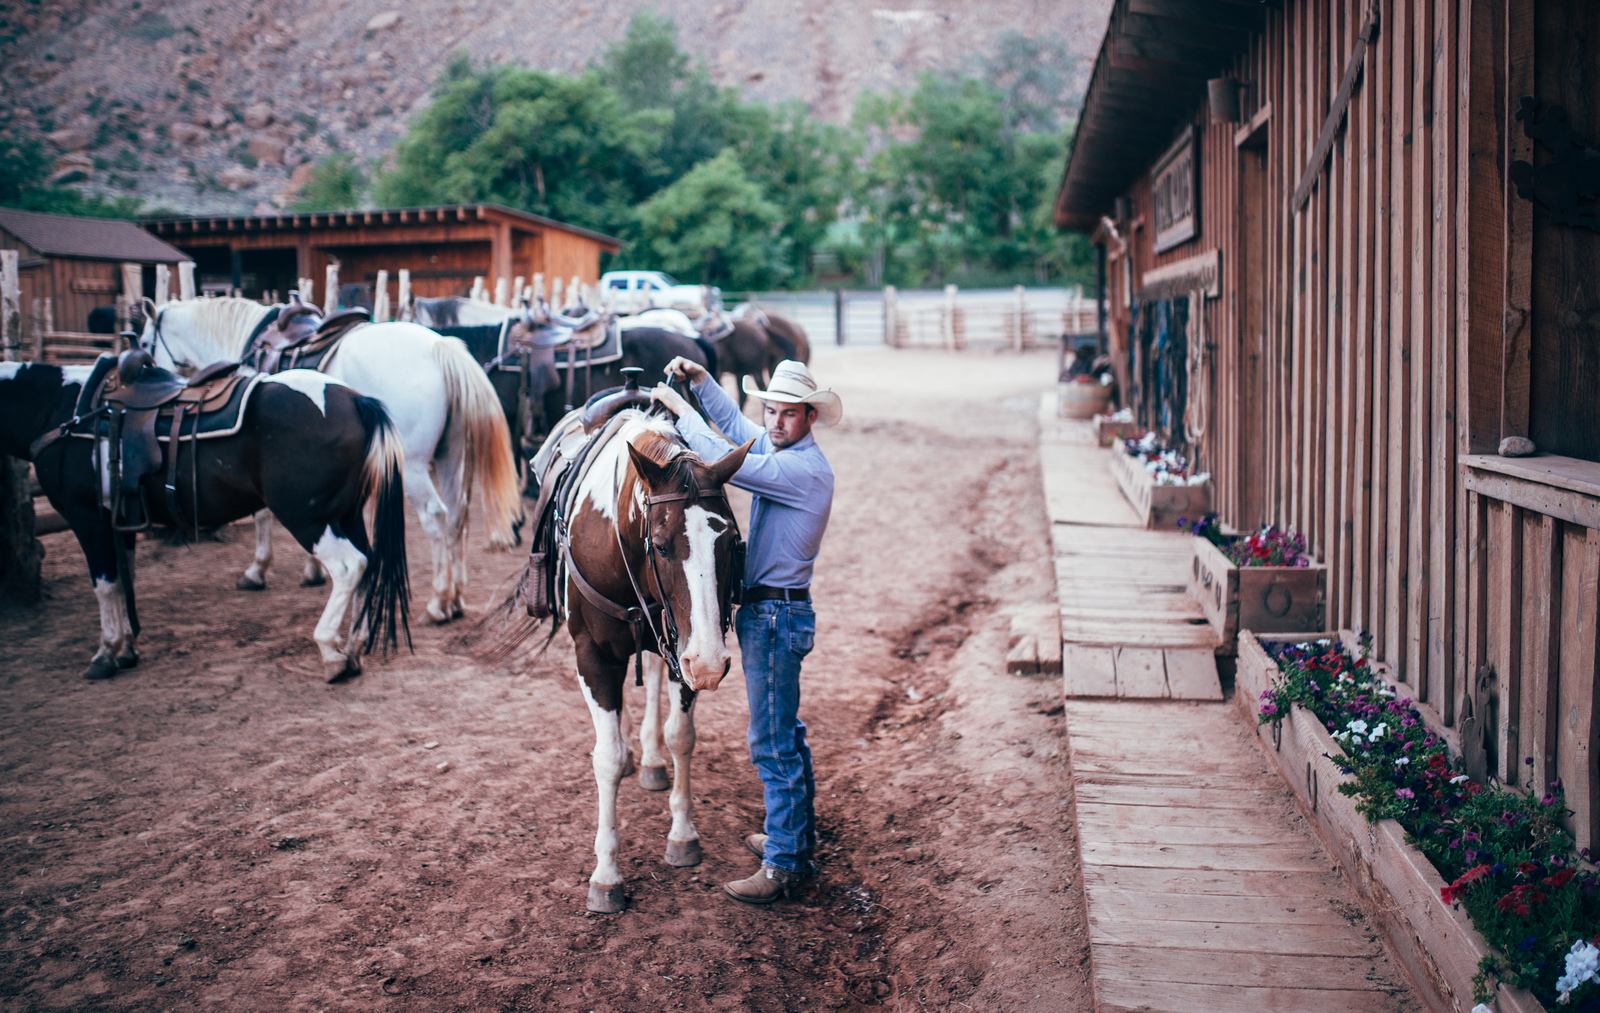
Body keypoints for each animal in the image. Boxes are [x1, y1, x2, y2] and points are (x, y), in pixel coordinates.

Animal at [0, 359, 410, 681]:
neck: (61, 411)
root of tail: (355, 400)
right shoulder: (120, 520)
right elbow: (124, 579)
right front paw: (127, 648)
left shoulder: (87, 517)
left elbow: (105, 583)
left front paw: (106, 652)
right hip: (346, 513)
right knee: (368, 563)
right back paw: (353, 646)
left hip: (308, 517)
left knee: (349, 566)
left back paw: (331, 652)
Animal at [139, 297, 521, 625]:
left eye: (144, 344)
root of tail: (441, 348)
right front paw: (313, 569)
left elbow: (263, 514)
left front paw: (258, 570)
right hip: (449, 456)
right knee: (457, 515)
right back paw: (455, 599)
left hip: (413, 466)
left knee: (436, 517)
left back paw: (439, 603)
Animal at [522, 404, 752, 912]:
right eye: (662, 545)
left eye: (730, 543)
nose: (712, 663)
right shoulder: (592, 655)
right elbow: (606, 757)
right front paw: (606, 875)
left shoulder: (683, 648)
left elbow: (681, 734)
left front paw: (683, 835)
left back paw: (648, 759)